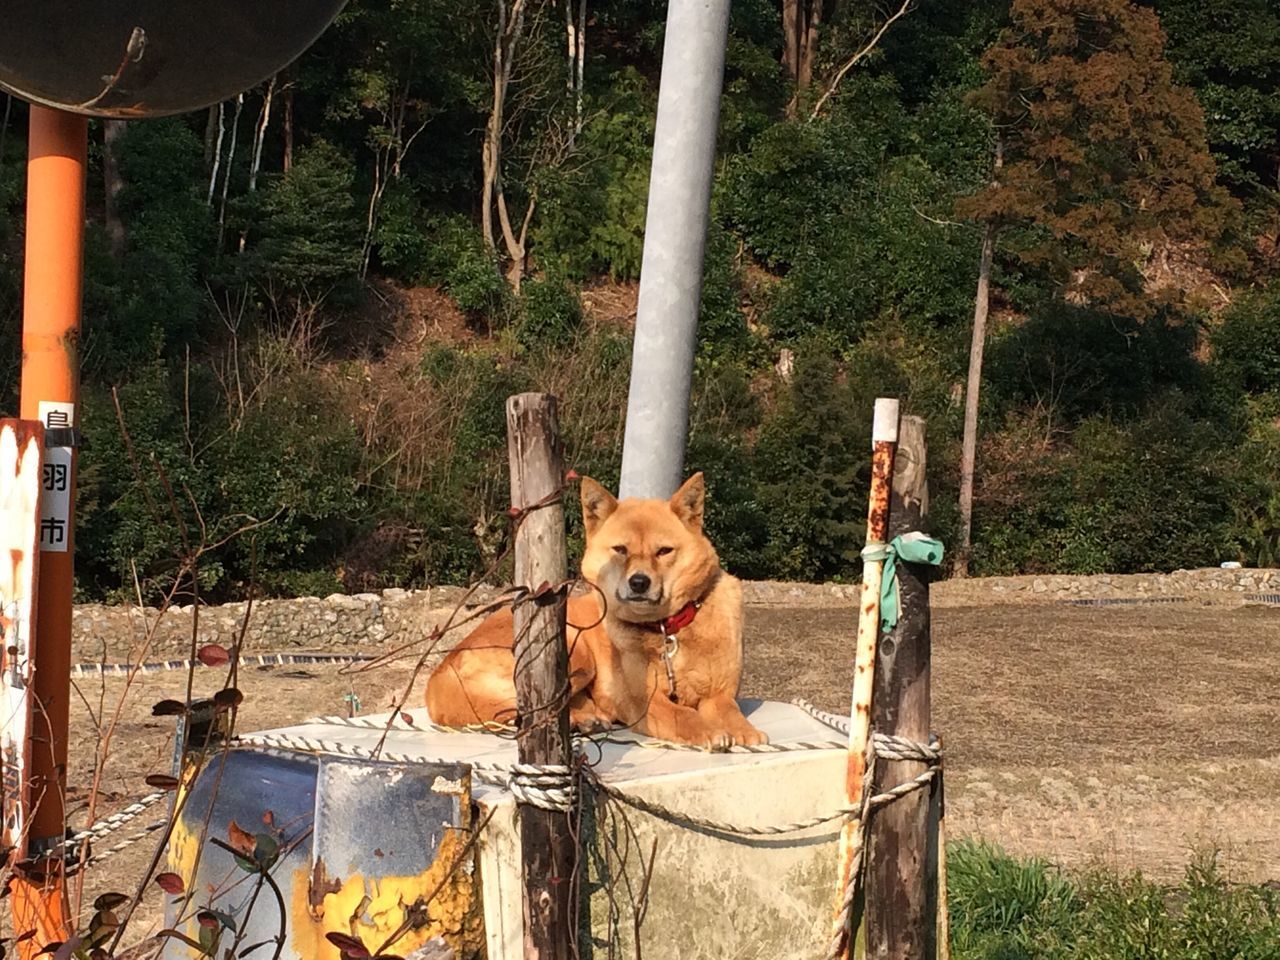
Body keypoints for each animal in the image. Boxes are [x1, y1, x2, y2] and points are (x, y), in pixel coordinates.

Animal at [427, 473, 768, 752]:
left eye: (664, 551)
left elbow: (729, 709)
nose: (639, 582)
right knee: (530, 713)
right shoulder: (642, 701)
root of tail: (438, 675)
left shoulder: (720, 694)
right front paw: (707, 730)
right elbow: (680, 713)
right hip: (574, 650)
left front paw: (745, 731)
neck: (667, 629)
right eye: (620, 550)